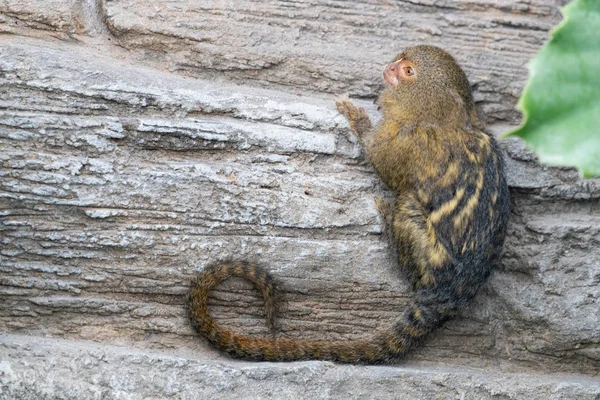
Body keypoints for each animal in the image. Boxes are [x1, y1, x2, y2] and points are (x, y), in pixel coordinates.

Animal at [189, 45, 510, 364]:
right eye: (400, 59)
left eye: (408, 71)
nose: (390, 68)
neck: (447, 119)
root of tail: (451, 292)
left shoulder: (402, 140)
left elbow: (382, 164)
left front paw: (358, 120)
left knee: (407, 208)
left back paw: (388, 220)